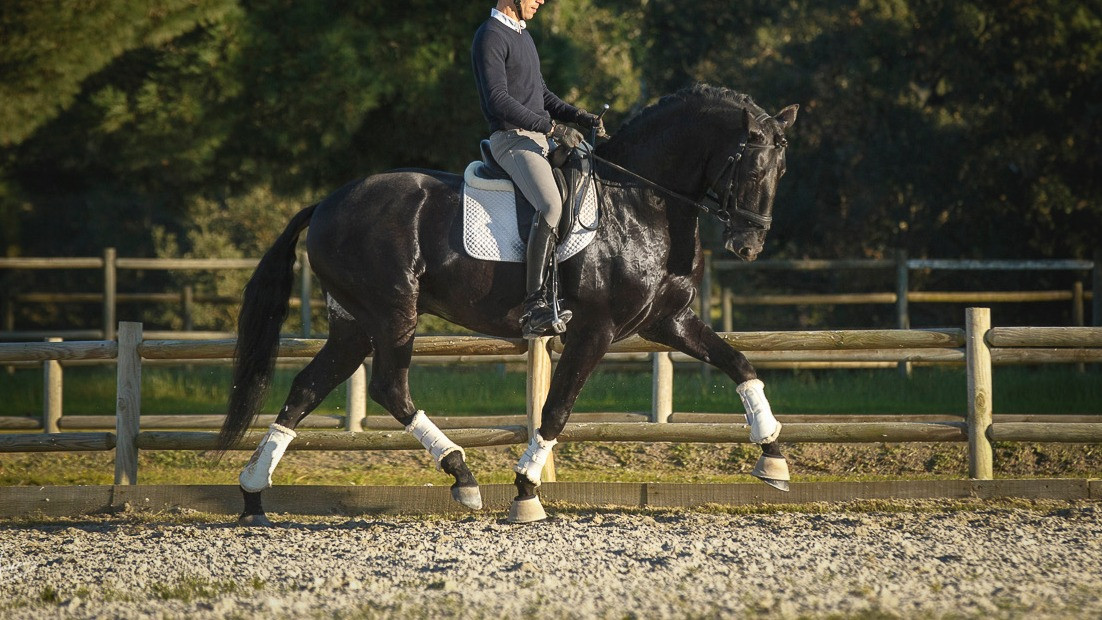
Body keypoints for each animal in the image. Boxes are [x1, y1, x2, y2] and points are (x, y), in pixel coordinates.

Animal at [217, 83, 799, 525]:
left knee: (306, 388)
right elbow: (557, 409)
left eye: (781, 172)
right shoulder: (595, 330)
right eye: (750, 169)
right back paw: (463, 475)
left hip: (354, 325)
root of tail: (326, 204)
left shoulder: (667, 322)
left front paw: (772, 456)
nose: (748, 245)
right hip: (393, 313)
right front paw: (525, 491)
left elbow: (739, 363)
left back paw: (253, 494)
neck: (639, 202)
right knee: (389, 387)